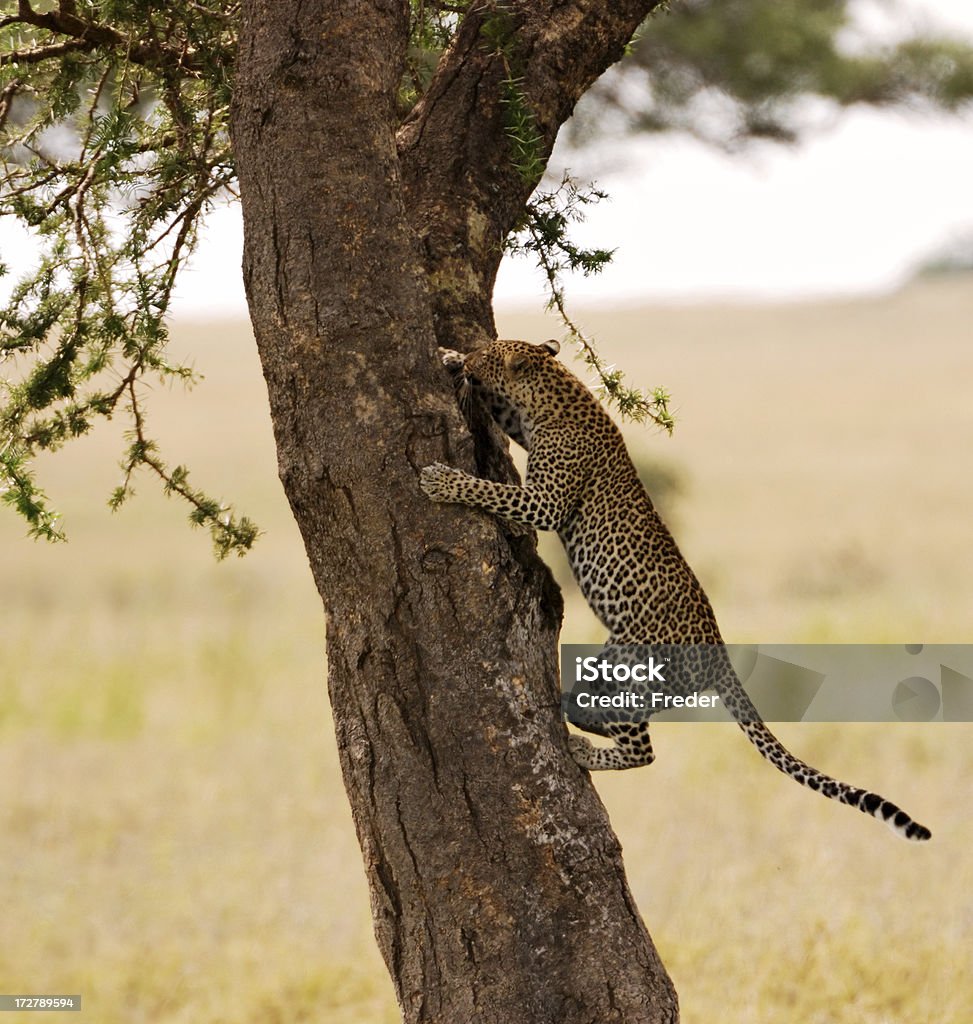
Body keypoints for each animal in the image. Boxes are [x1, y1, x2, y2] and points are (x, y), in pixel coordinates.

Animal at [421, 335, 934, 839]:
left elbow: (495, 491)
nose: (468, 357)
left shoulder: (545, 501)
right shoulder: (525, 428)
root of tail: (720, 653)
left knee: (642, 749)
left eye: (486, 353)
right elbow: (502, 416)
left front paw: (442, 479)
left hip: (631, 670)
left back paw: (584, 747)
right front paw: (449, 357)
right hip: (611, 669)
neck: (557, 389)